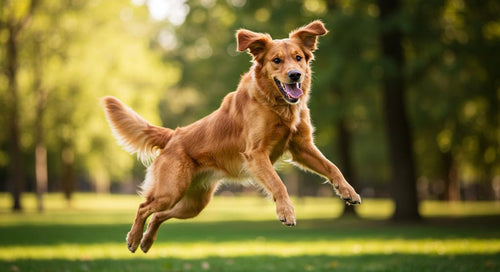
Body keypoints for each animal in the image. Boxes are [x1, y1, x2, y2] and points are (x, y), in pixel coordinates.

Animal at [102, 20, 360, 254]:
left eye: (299, 58)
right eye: (276, 60)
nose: (295, 75)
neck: (275, 104)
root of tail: (174, 134)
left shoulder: (302, 147)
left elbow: (333, 167)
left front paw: (349, 192)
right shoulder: (256, 153)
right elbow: (279, 184)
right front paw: (286, 211)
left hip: (193, 204)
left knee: (158, 216)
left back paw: (146, 241)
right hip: (170, 191)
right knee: (143, 207)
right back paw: (134, 238)